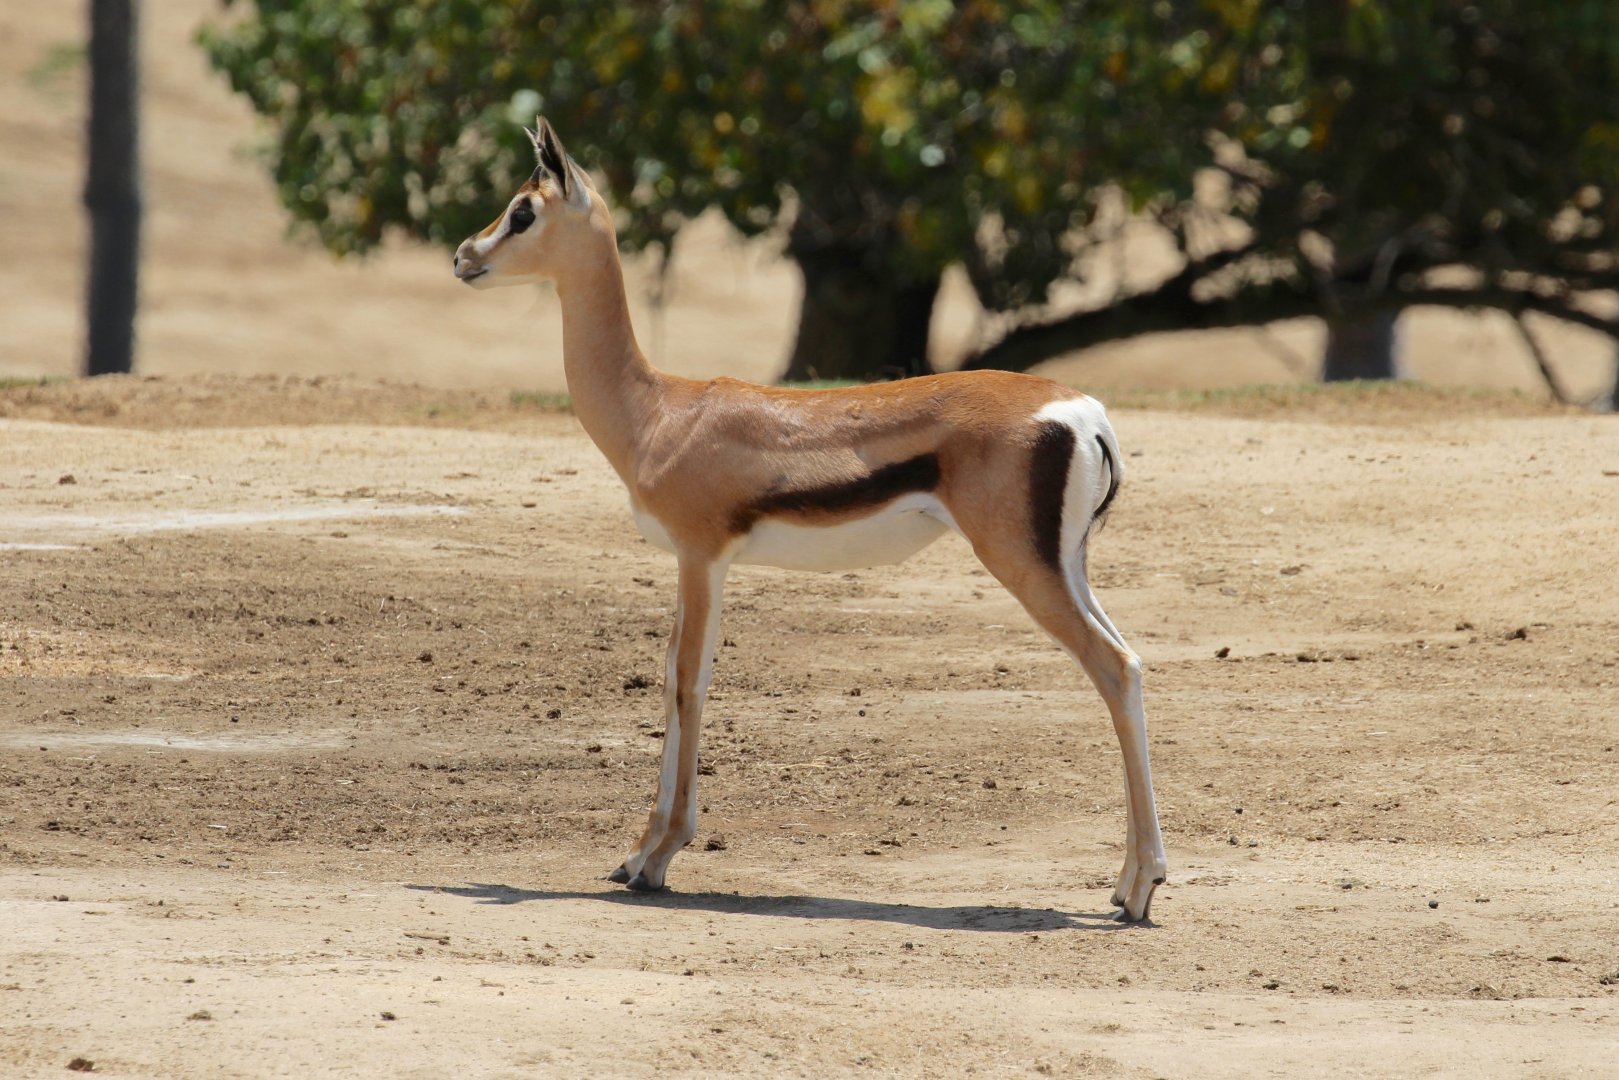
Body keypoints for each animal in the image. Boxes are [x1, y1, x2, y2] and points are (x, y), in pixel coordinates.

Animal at [453, 119, 1168, 922]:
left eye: (523, 210)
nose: (464, 256)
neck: (657, 411)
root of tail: (1084, 412)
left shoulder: (701, 557)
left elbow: (686, 681)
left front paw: (656, 858)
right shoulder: (700, 564)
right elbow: (676, 674)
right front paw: (636, 854)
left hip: (1021, 566)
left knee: (1113, 667)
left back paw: (1139, 888)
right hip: (1066, 565)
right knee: (1130, 662)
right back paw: (1127, 882)